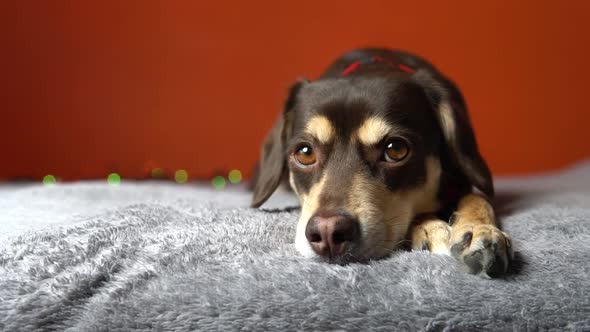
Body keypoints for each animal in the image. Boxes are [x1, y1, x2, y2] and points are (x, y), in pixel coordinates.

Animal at [252, 48, 516, 278]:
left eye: (395, 149)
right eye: (305, 153)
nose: (328, 233)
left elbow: (479, 199)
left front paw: (481, 232)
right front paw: (429, 227)